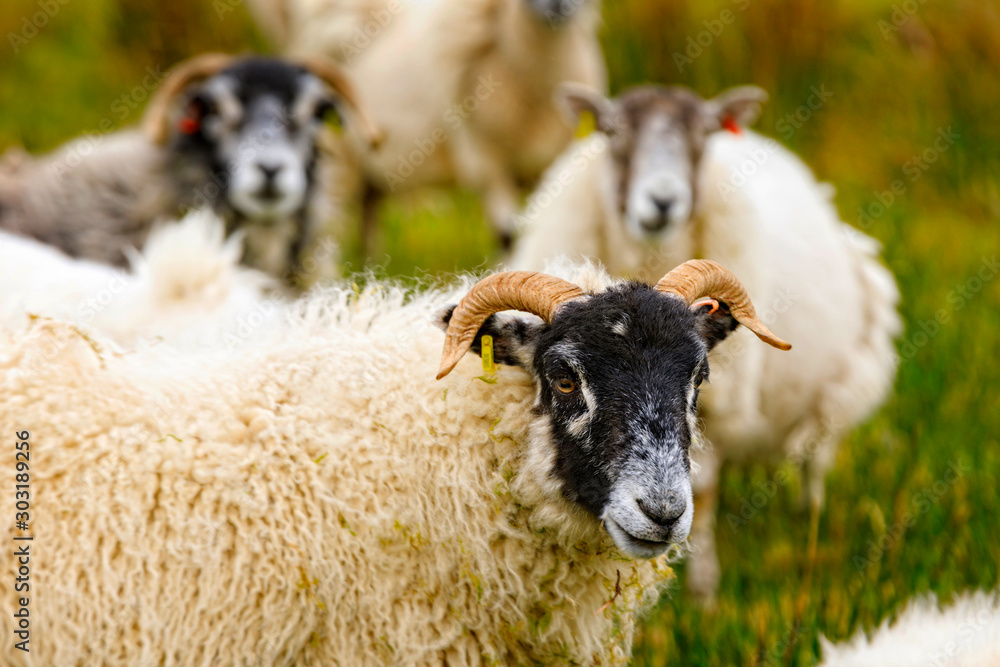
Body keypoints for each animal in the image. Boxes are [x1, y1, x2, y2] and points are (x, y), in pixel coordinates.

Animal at [247, 0, 607, 252]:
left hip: (371, 173)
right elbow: (508, 237)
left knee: (368, 223)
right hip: (337, 163)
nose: (558, 5)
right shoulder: (486, 160)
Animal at [509, 83, 902, 600]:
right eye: (612, 131)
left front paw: (703, 592)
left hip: (839, 386)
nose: (662, 201)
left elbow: (707, 492)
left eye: (702, 136)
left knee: (814, 462)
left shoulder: (712, 408)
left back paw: (808, 523)